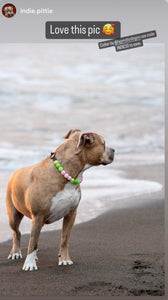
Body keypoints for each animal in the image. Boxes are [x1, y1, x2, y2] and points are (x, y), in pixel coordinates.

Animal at [5, 130, 115, 270]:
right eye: (104, 144)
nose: (114, 150)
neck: (67, 174)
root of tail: (16, 172)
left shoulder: (71, 214)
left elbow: (64, 239)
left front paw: (64, 259)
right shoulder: (38, 216)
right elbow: (33, 242)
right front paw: (29, 264)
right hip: (14, 215)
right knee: (17, 232)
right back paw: (16, 252)